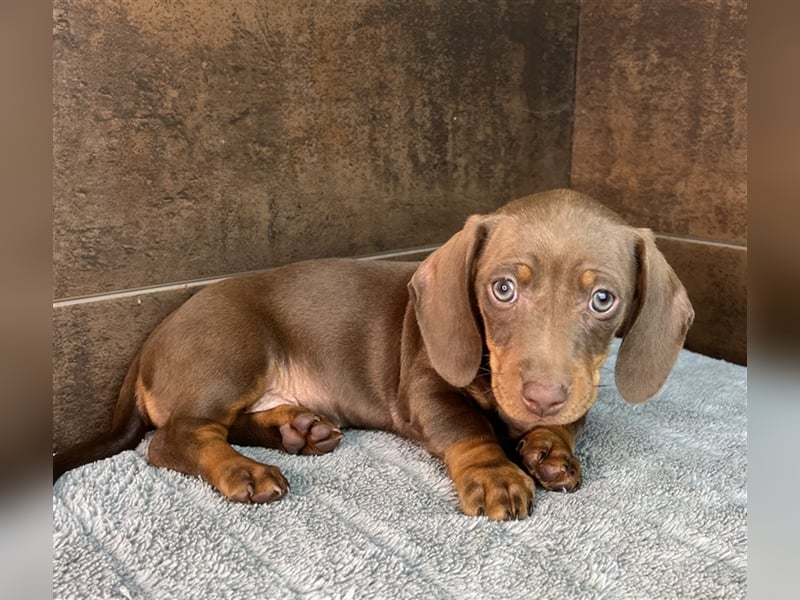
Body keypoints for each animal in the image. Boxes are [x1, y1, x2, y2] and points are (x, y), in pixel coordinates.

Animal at [54, 189, 692, 520]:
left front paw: (550, 447)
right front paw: (496, 473)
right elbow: (467, 427)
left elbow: (572, 420)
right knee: (176, 437)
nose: (541, 398)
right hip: (231, 352)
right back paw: (245, 470)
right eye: (503, 289)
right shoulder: (426, 388)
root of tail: (153, 339)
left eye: (603, 299)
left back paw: (296, 430)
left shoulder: (578, 391)